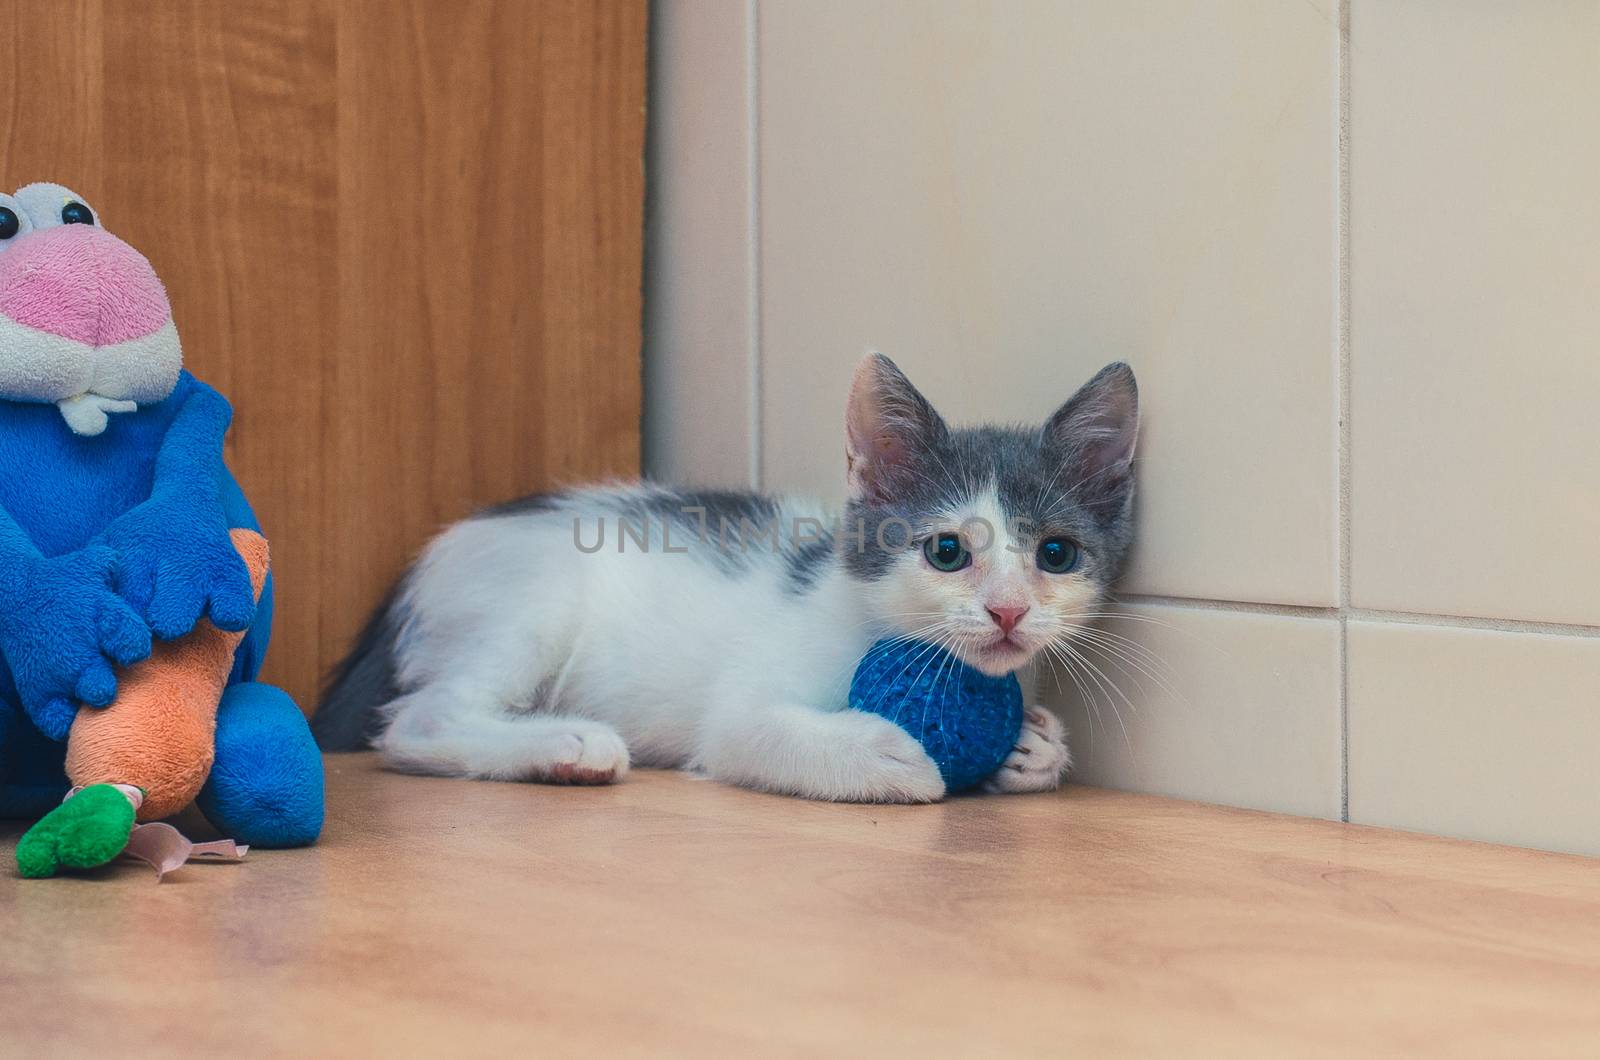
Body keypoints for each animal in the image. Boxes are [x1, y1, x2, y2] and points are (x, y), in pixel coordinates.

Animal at [312, 357, 1139, 807]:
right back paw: (567, 745)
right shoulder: (740, 711)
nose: (1008, 612)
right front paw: (884, 753)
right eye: (945, 551)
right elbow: (746, 729)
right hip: (531, 598)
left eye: (1056, 554)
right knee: (416, 721)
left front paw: (1033, 751)